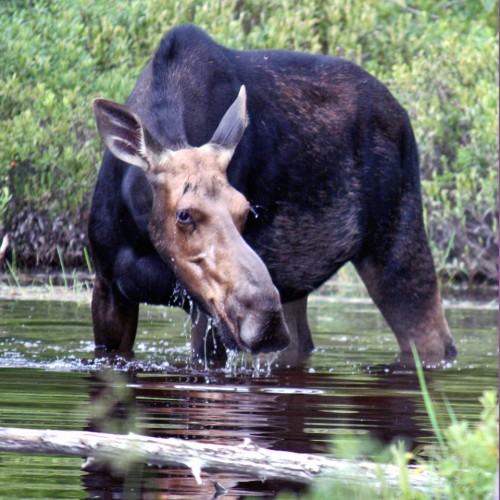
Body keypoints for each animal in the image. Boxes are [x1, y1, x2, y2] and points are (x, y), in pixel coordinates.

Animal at [88, 23, 456, 366]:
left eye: (245, 210)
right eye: (184, 214)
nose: (265, 318)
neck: (140, 232)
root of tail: (402, 114)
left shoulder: (206, 313)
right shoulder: (108, 287)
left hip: (394, 244)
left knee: (435, 340)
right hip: (296, 280)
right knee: (302, 342)